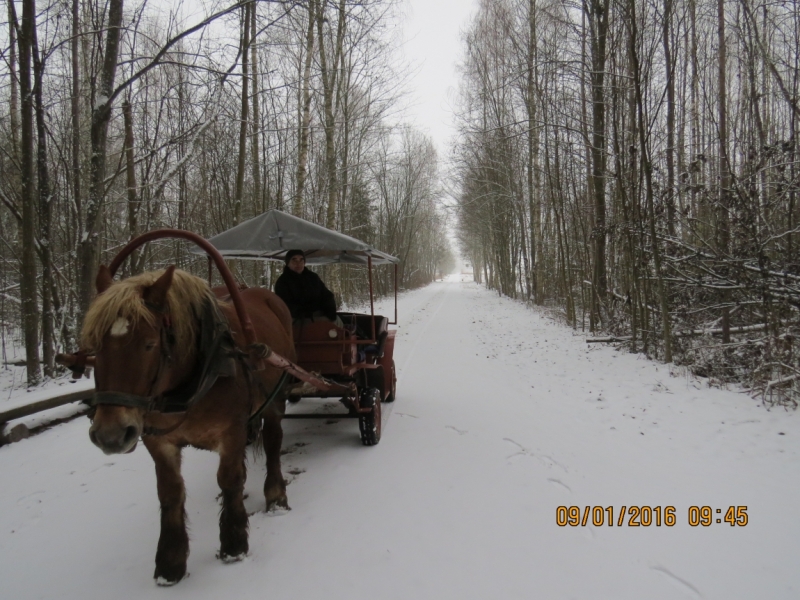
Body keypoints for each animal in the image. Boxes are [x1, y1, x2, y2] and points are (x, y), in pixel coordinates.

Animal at [69, 264, 294, 584]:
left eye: (149, 344)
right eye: (95, 347)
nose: (110, 435)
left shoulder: (231, 432)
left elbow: (229, 479)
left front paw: (234, 543)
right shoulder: (158, 441)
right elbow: (170, 492)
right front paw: (170, 561)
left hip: (276, 397)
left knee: (274, 443)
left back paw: (276, 496)